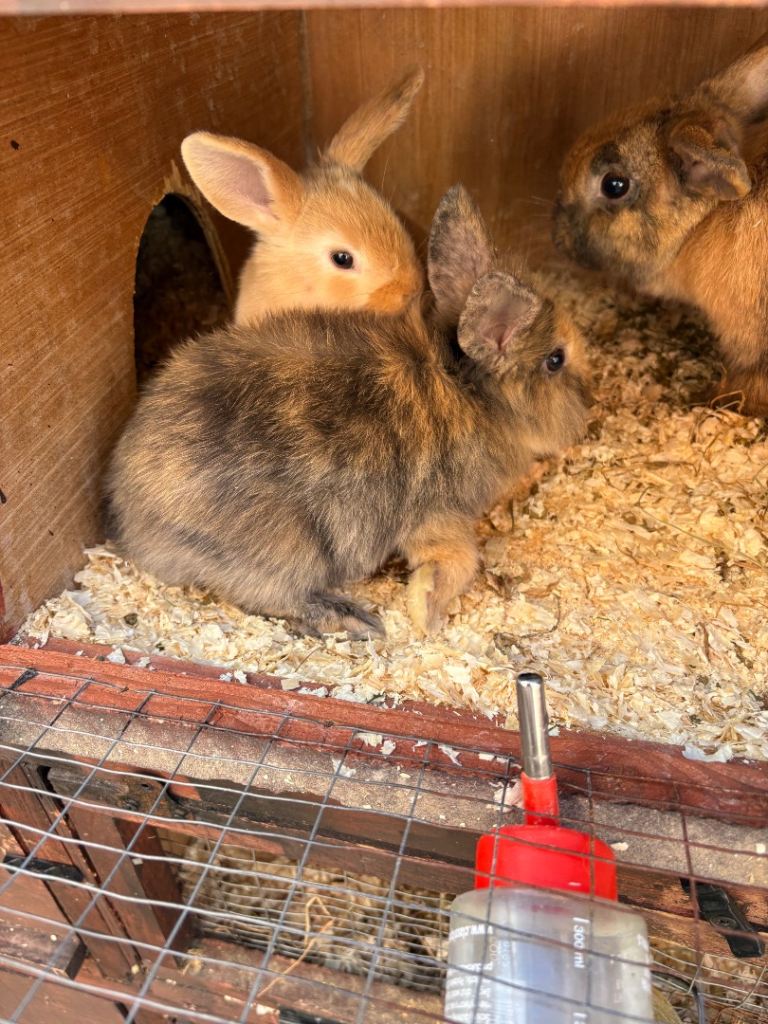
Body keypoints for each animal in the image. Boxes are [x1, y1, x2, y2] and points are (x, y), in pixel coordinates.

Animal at [107, 185, 590, 638]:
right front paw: (426, 616)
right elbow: (454, 561)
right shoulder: (438, 515)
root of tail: (135, 523)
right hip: (286, 550)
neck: (471, 391)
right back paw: (351, 618)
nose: (590, 404)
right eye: (556, 360)